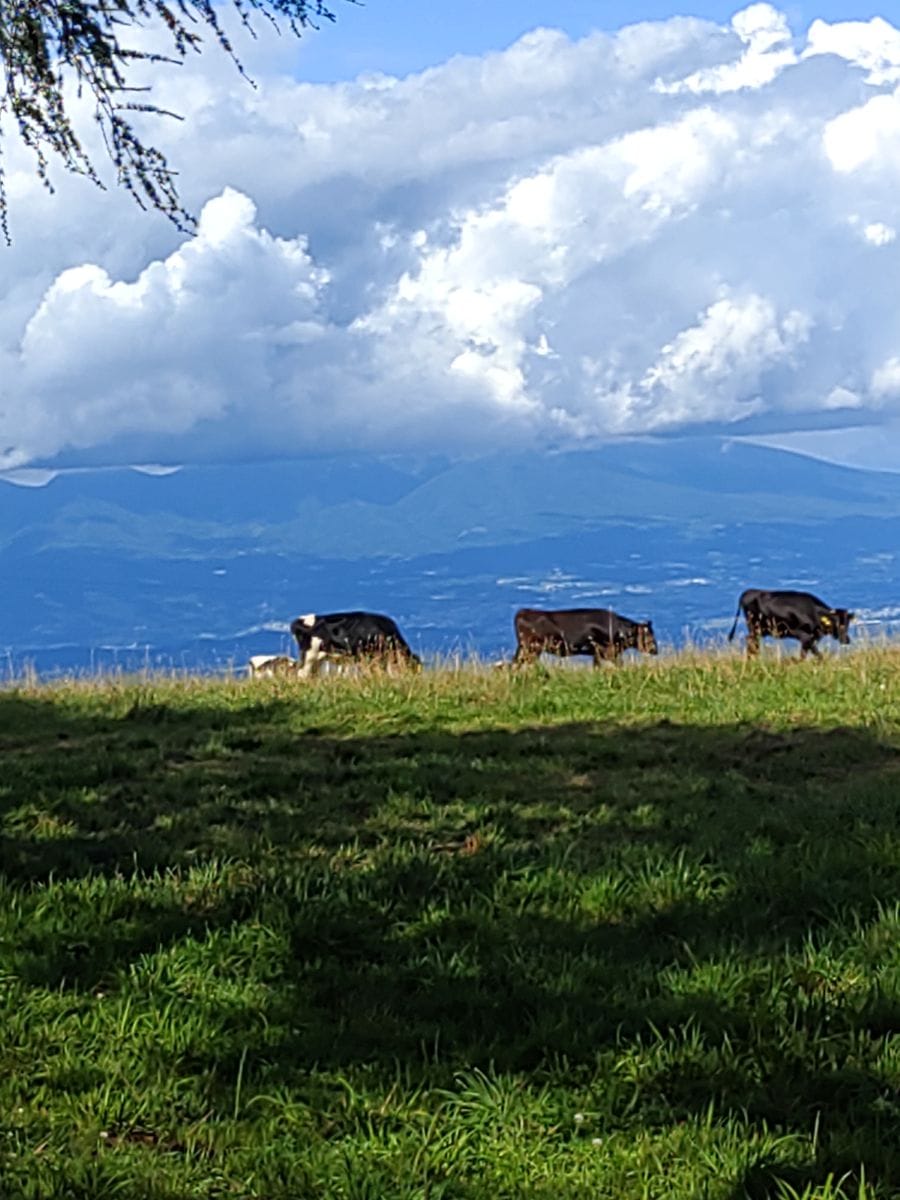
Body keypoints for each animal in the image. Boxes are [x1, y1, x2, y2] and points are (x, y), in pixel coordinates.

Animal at [292, 609, 427, 676]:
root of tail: (299, 620)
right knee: (301, 673)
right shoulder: (370, 657)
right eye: (415, 669)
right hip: (309, 655)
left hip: (318, 657)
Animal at [513, 609, 662, 667]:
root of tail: (523, 611)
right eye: (648, 634)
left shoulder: (596, 653)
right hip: (530, 649)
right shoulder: (607, 652)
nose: (655, 649)